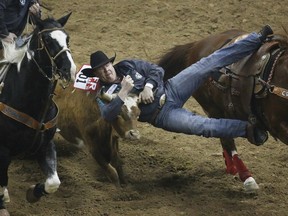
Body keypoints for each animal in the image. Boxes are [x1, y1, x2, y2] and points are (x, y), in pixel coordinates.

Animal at [0, 13, 76, 214]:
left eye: (67, 38)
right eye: (47, 40)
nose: (69, 69)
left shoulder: (46, 144)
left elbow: (53, 182)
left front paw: (33, 193)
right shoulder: (3, 149)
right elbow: (2, 185)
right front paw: (3, 204)